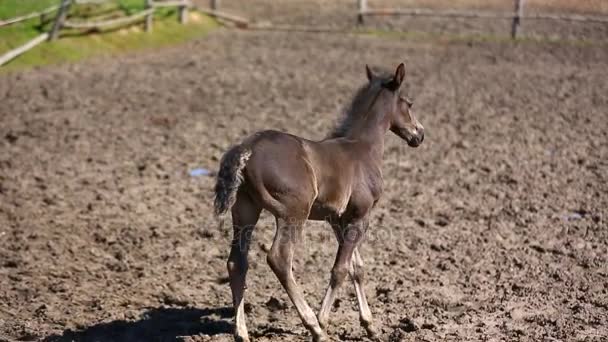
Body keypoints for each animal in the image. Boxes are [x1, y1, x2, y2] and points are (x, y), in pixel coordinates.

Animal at [216, 62, 426, 340]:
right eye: (409, 103)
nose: (419, 134)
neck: (362, 147)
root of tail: (246, 148)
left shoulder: (337, 218)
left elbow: (356, 267)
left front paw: (369, 325)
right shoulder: (361, 215)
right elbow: (340, 269)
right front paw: (323, 320)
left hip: (245, 212)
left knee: (236, 263)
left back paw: (242, 332)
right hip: (294, 213)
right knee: (279, 258)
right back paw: (314, 326)